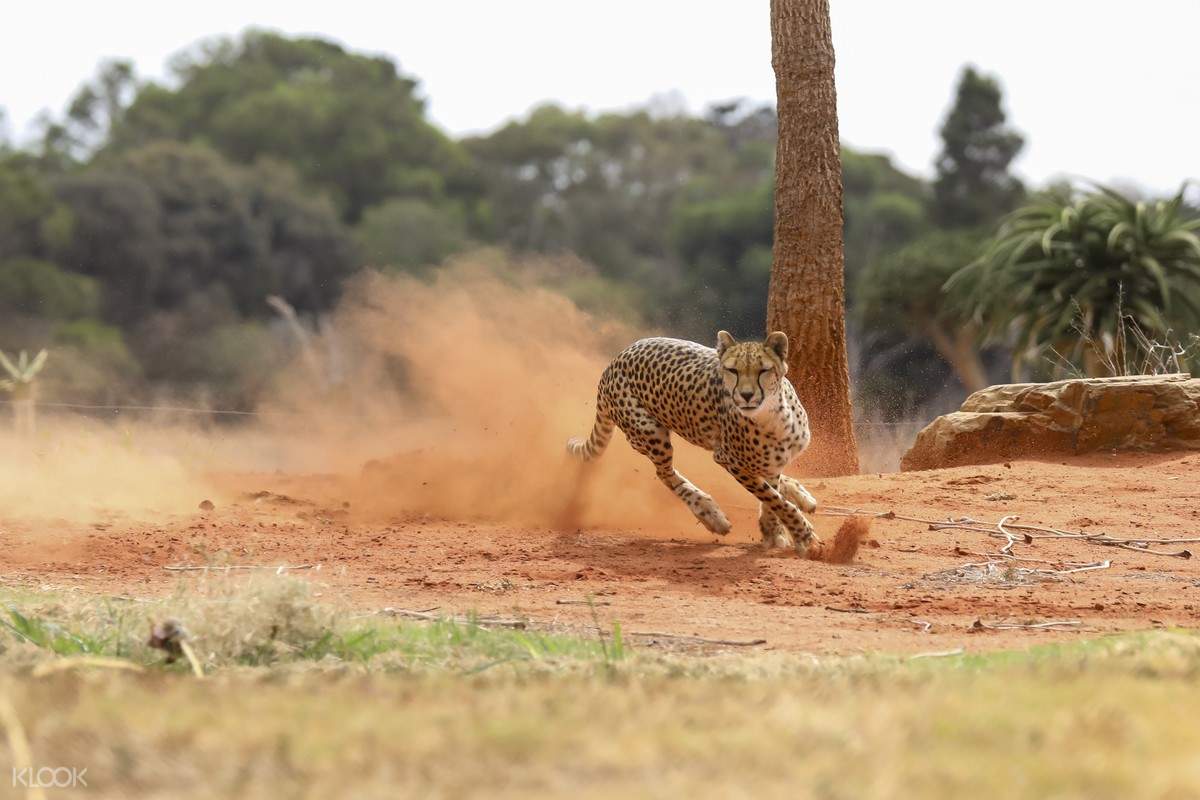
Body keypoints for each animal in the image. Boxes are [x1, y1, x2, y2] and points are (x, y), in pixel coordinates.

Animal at [567, 330, 820, 554]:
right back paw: (709, 512)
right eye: (732, 370)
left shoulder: (769, 462)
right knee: (665, 474)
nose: (746, 395)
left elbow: (772, 494)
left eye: (763, 370)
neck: (774, 416)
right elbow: (773, 498)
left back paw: (800, 495)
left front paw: (773, 530)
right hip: (649, 432)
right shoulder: (729, 459)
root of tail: (615, 361)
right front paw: (803, 536)